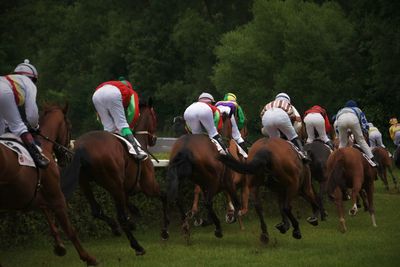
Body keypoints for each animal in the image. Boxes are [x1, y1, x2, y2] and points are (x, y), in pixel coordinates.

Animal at [0, 104, 97, 266]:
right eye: (70, 126)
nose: (67, 155)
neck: (42, 145)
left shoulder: (35, 194)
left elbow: (46, 211)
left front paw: (59, 246)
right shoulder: (56, 195)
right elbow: (70, 229)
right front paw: (88, 257)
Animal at [61, 98, 167, 255]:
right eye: (155, 117)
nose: (154, 139)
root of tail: (81, 147)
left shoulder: (124, 190)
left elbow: (129, 206)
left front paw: (134, 217)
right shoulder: (148, 186)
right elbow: (164, 196)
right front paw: (165, 231)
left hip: (84, 181)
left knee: (96, 210)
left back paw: (115, 228)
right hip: (114, 182)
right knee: (120, 217)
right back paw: (137, 246)